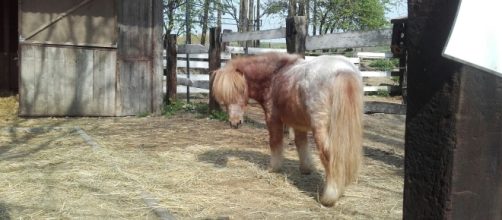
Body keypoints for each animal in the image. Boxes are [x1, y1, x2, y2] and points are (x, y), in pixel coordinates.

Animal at [210, 52, 362, 207]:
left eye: (241, 90)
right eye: (224, 98)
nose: (235, 123)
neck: (274, 75)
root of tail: (342, 70)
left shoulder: (273, 119)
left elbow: (275, 143)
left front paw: (273, 168)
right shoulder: (299, 123)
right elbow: (301, 145)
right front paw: (306, 169)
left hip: (320, 127)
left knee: (329, 154)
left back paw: (329, 196)